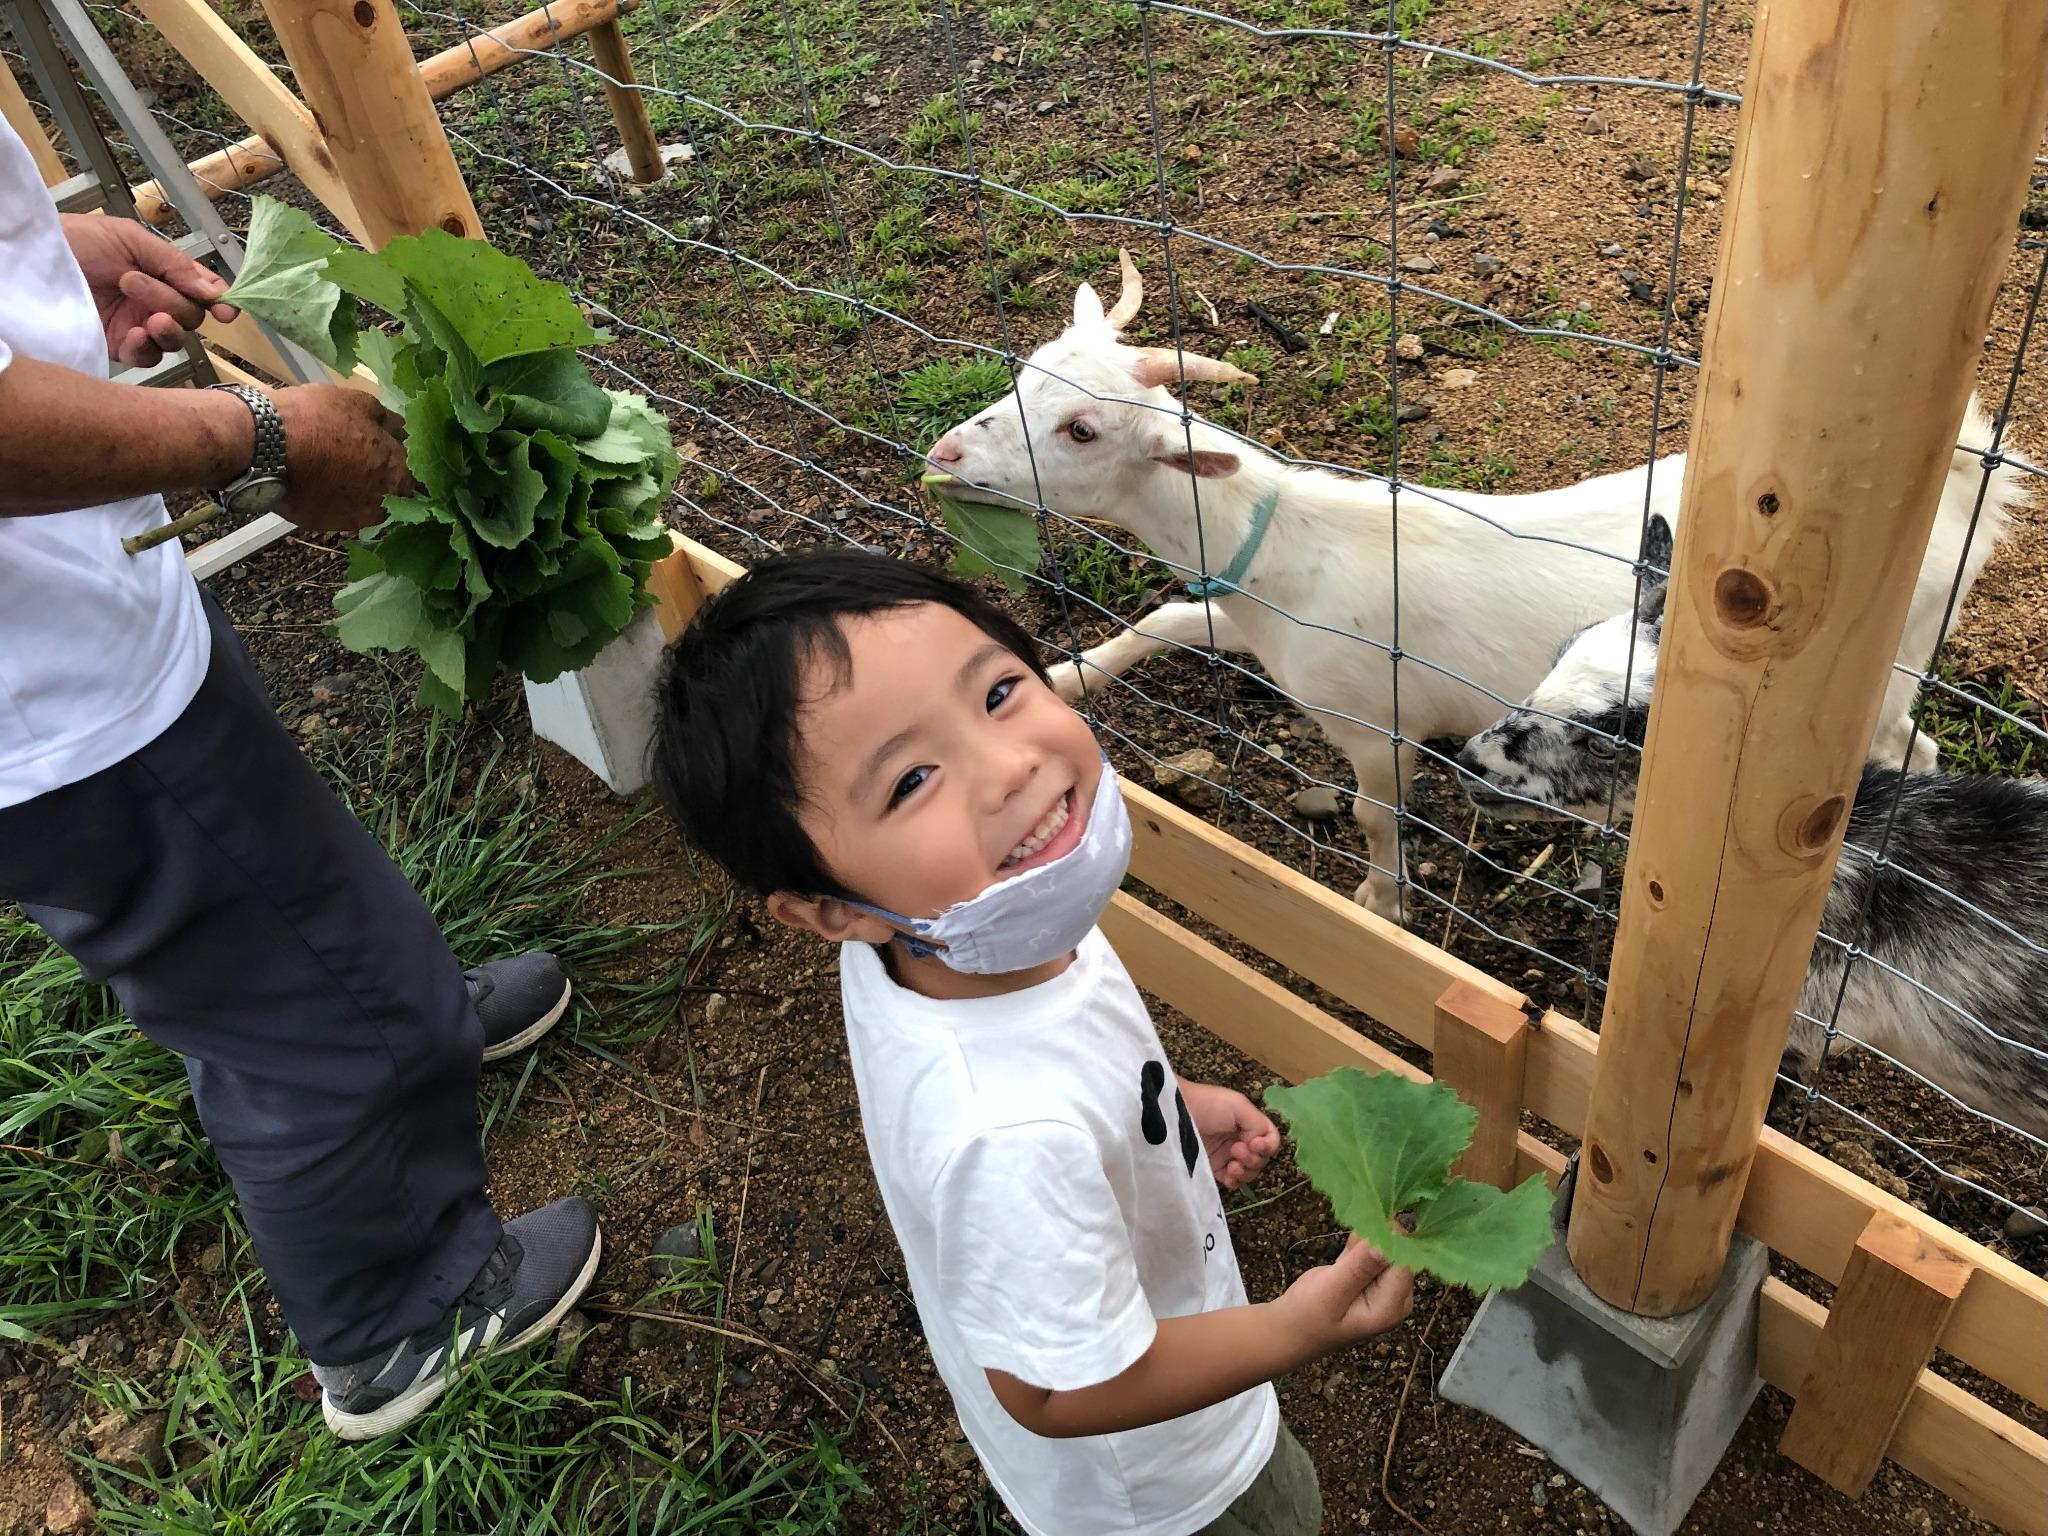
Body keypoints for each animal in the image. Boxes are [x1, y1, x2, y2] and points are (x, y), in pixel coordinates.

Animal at [933, 252, 2015, 921]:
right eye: (1027, 373)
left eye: (1082, 429)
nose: (945, 455)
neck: (1286, 546)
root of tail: (1968, 474)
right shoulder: (1256, 625)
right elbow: (1162, 618)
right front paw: (1066, 677)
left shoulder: (1376, 722)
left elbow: (1376, 817)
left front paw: (1382, 904)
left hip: (1883, 671)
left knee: (1909, 751)